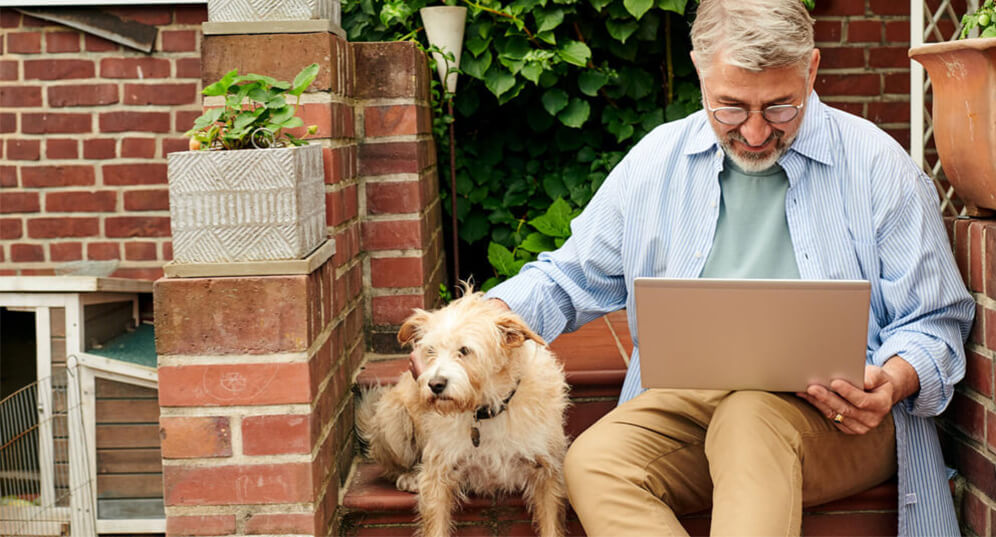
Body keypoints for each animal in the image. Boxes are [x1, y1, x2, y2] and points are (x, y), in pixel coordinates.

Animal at [360, 288, 572, 536]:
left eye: (464, 350)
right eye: (430, 351)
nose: (435, 384)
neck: (486, 410)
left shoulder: (548, 471)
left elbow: (551, 525)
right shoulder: (438, 473)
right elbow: (436, 526)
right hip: (391, 418)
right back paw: (410, 476)